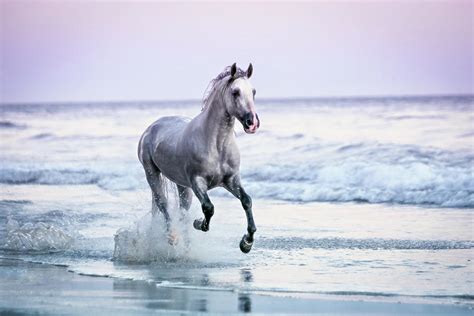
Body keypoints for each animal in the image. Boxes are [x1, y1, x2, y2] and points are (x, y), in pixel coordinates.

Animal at [138, 63, 260, 253]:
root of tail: (151, 128)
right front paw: (199, 223)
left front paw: (246, 243)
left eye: (253, 91)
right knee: (163, 204)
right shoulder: (197, 182)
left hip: (182, 185)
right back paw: (172, 237)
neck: (216, 145)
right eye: (235, 92)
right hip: (152, 174)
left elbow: (246, 201)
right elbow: (208, 208)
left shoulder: (231, 180)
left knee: (182, 211)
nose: (252, 123)